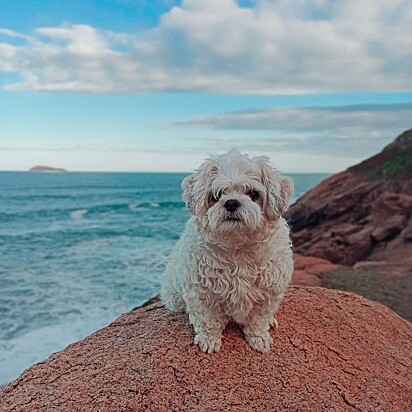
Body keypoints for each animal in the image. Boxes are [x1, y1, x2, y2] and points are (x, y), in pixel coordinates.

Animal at [161, 150, 292, 352]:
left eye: (253, 193)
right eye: (216, 195)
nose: (231, 202)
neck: (238, 246)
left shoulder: (268, 292)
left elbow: (258, 320)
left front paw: (259, 338)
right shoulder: (201, 292)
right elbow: (208, 320)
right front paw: (209, 340)